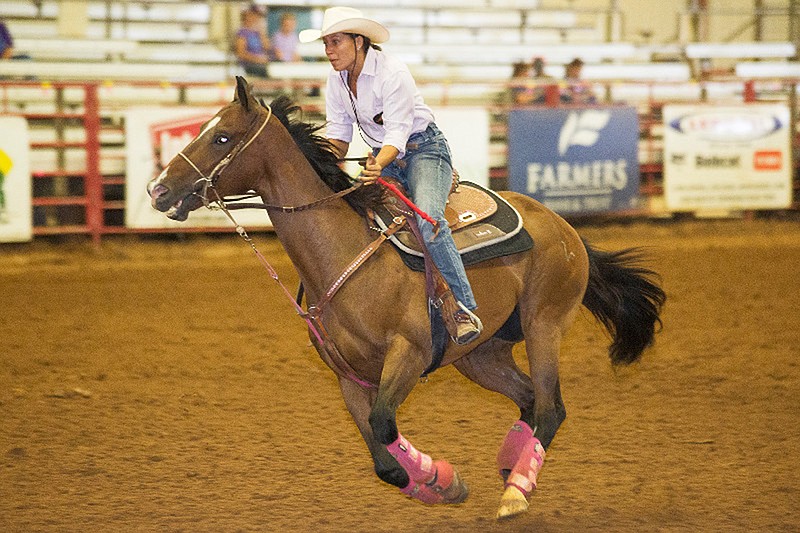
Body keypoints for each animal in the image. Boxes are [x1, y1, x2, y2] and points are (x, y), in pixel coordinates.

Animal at [147, 78, 664, 520]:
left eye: (222, 138)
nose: (158, 189)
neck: (343, 251)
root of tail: (562, 225)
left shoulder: (409, 354)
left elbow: (384, 424)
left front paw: (443, 478)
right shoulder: (349, 377)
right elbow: (384, 462)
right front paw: (440, 485)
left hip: (544, 326)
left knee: (551, 408)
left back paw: (516, 492)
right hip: (482, 356)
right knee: (530, 401)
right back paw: (512, 466)